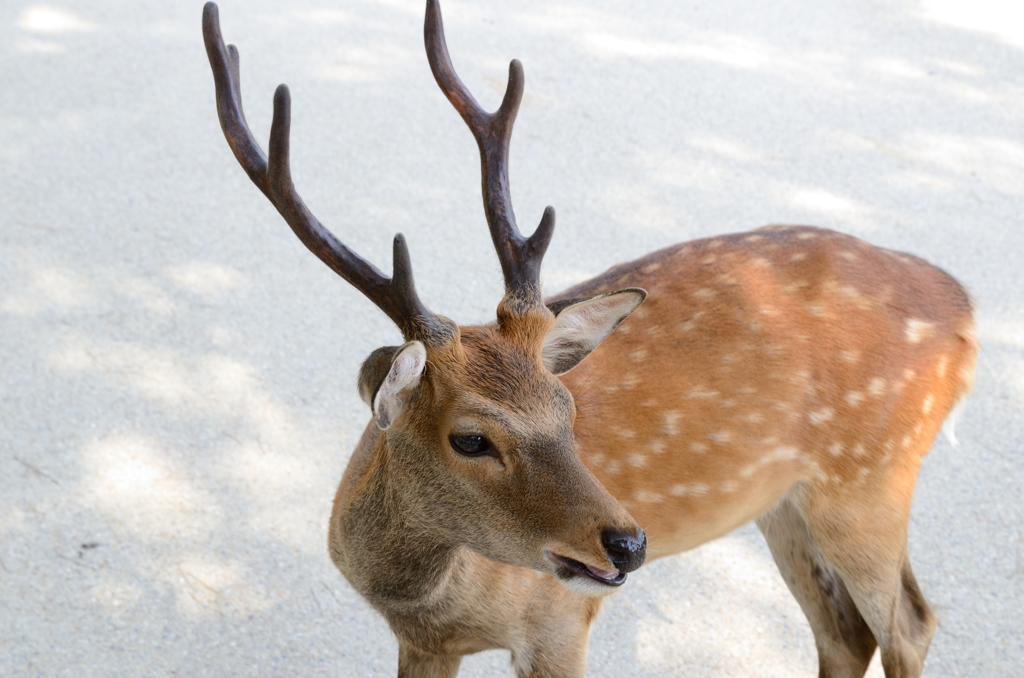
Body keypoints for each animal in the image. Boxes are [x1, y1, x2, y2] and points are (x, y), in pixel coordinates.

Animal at [202, 2, 977, 676]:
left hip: (871, 479)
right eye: (471, 438)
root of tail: (965, 309)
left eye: (566, 409)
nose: (630, 544)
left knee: (909, 623)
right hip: (787, 502)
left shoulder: (557, 623)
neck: (432, 602)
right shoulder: (422, 642)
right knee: (846, 632)